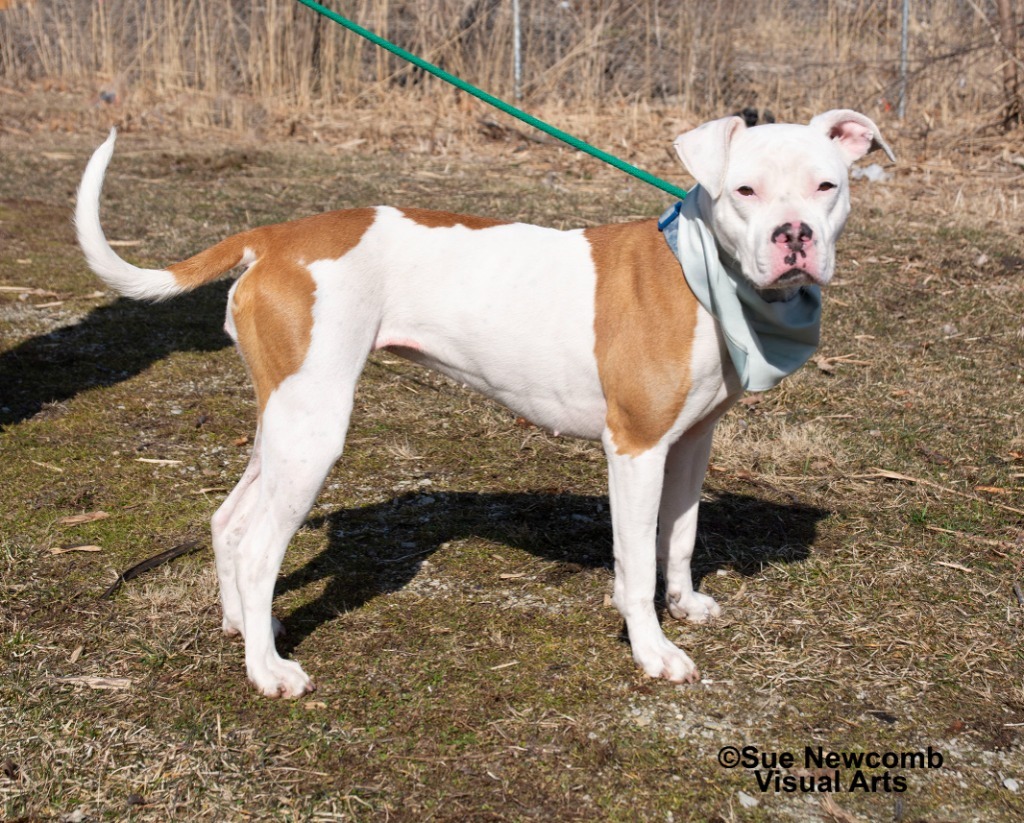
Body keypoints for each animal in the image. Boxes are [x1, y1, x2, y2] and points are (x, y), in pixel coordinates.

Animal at [74, 109, 888, 696]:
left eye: (827, 187)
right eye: (745, 191)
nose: (794, 235)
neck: (700, 272)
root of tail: (275, 236)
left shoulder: (689, 443)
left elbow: (679, 537)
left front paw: (684, 604)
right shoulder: (634, 448)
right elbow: (633, 560)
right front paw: (652, 648)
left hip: (285, 421)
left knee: (228, 521)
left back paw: (244, 626)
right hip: (314, 430)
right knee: (256, 545)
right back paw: (268, 668)